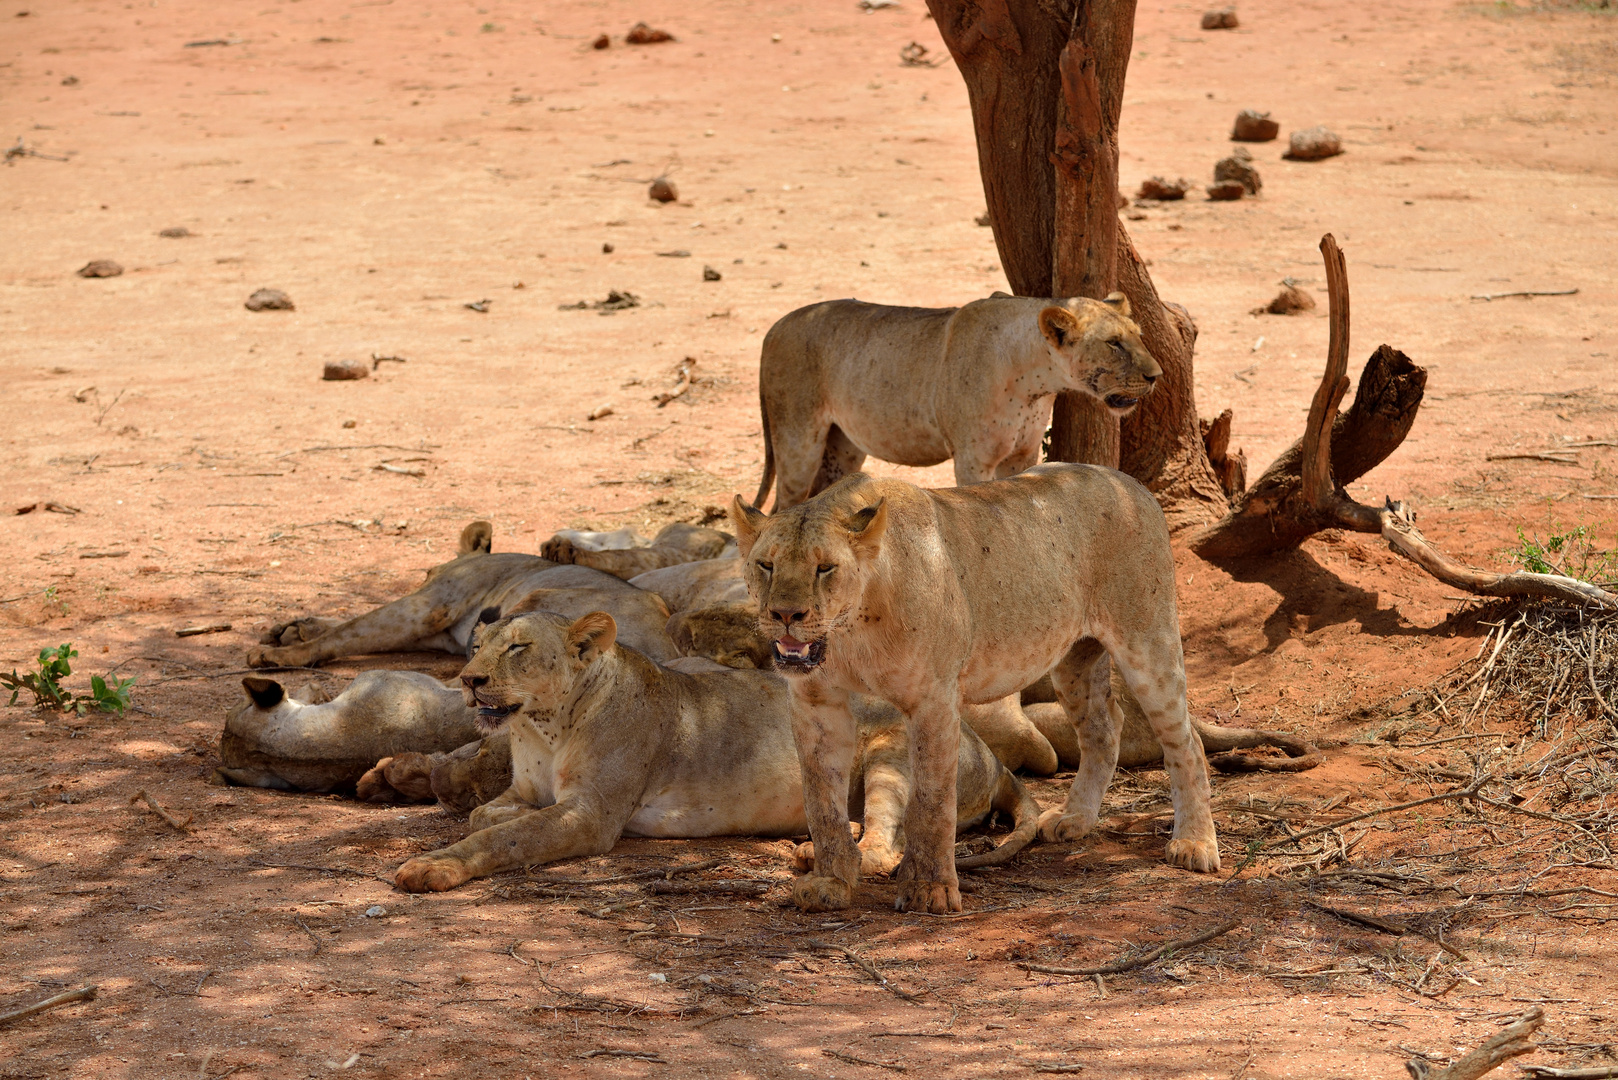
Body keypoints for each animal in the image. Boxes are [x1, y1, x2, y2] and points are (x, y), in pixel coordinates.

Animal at [388, 612, 1035, 893]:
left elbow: (505, 838)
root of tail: (995, 758)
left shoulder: (592, 816)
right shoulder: (528, 791)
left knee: (886, 846)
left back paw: (817, 856)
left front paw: (432, 866)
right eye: (476, 646)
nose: (469, 680)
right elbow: (486, 815)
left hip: (891, 752)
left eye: (517, 648)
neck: (540, 729)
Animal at [731, 469, 1216, 919]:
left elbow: (930, 802)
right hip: (1075, 658)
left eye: (825, 567)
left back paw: (1194, 844)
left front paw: (930, 890)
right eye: (766, 565)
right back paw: (1073, 818)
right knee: (1104, 727)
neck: (850, 632)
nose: (785, 614)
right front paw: (830, 883)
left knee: (1186, 741)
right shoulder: (815, 701)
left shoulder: (933, 699)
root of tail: (1129, 483)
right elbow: (822, 803)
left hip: (1147, 641)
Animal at [750, 293, 1158, 514]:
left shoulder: (1021, 455)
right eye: (1114, 343)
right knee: (782, 508)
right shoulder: (972, 457)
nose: (1157, 375)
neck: (1034, 379)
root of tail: (774, 327)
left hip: (843, 447)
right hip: (797, 439)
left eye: (1138, 336)